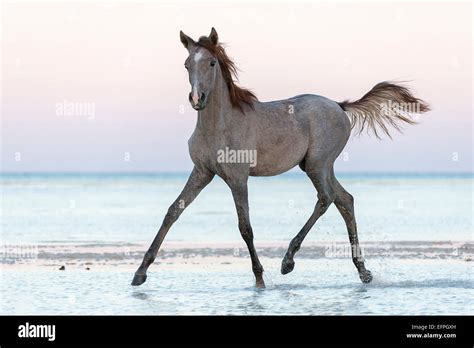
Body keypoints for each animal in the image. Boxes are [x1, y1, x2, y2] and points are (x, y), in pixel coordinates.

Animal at [131, 27, 432, 288]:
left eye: (212, 63)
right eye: (186, 65)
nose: (197, 99)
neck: (219, 125)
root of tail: (340, 106)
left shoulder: (238, 178)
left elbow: (245, 227)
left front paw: (260, 278)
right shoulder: (202, 172)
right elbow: (173, 211)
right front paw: (139, 274)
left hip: (317, 164)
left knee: (326, 198)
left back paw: (288, 262)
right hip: (321, 166)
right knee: (345, 200)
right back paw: (363, 272)